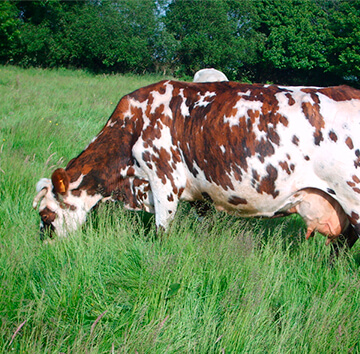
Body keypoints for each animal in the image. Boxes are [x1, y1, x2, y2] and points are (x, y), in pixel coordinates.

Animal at [33, 80, 360, 252]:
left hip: (354, 199)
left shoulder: (164, 181)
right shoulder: (201, 194)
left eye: (46, 215)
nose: (43, 246)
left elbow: (161, 231)